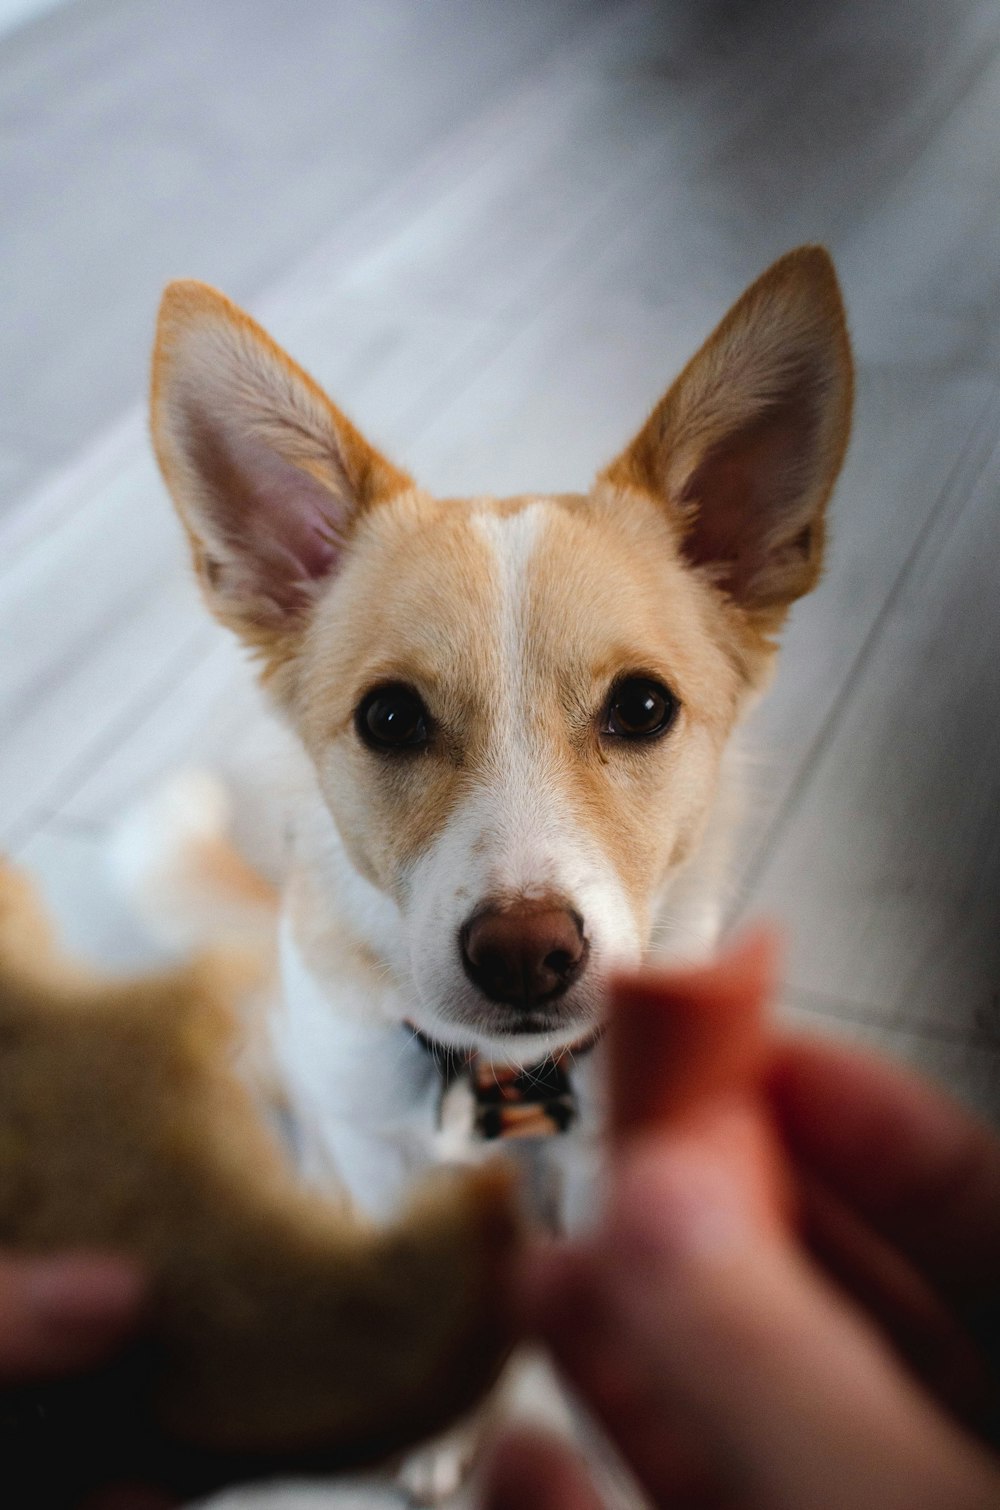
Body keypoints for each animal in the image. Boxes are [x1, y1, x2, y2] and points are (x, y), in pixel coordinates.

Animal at [148, 244, 851, 1485]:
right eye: (388, 717)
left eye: (642, 707)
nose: (527, 955)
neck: (505, 1089)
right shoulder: (386, 1160)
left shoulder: (607, 1163)